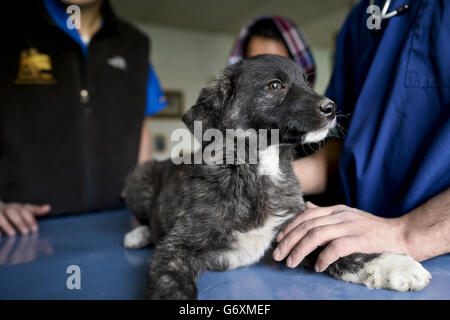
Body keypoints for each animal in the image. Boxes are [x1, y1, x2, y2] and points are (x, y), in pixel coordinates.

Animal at [121, 54, 430, 300]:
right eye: (275, 86)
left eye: (307, 83)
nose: (331, 108)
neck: (259, 171)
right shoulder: (177, 248)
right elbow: (170, 283)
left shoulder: (296, 232)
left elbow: (337, 249)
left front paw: (392, 265)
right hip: (139, 176)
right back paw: (137, 234)